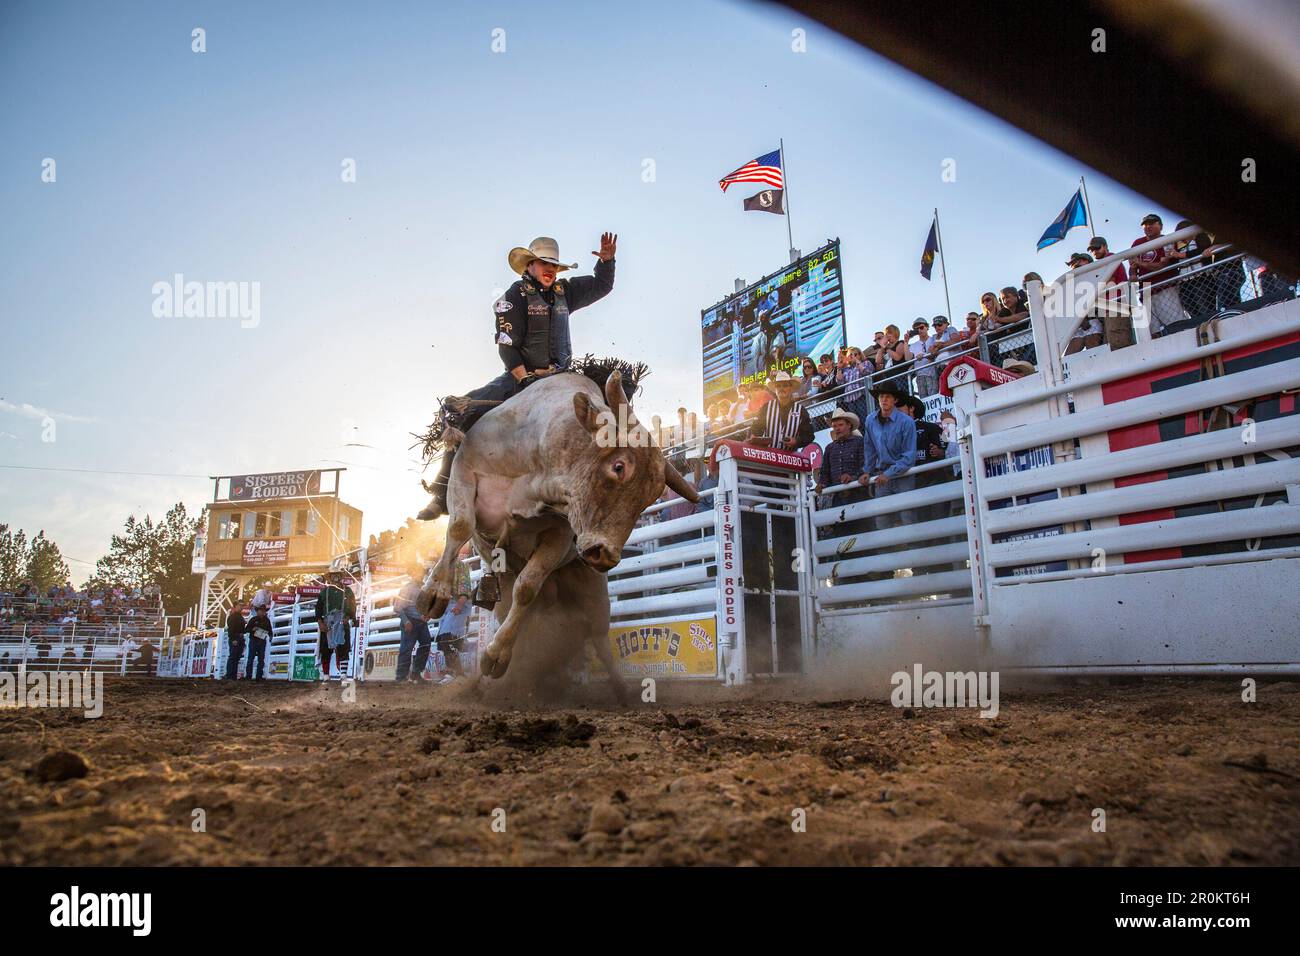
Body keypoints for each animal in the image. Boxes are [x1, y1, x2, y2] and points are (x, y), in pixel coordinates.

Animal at [418, 366, 702, 702]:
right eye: (619, 466)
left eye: (651, 496)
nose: (605, 554)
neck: (536, 476)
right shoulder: (465, 471)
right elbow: (460, 527)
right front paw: (433, 594)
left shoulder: (562, 534)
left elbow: (527, 587)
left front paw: (495, 656)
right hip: (505, 588)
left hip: (594, 595)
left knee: (598, 639)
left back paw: (621, 691)